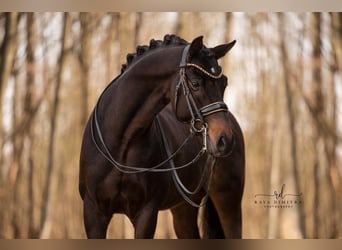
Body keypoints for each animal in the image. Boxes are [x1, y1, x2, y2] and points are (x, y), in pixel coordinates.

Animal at [79, 34, 246, 238]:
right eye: (195, 83)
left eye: (224, 83)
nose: (225, 140)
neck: (120, 143)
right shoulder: (93, 213)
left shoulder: (146, 213)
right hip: (184, 209)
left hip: (228, 202)